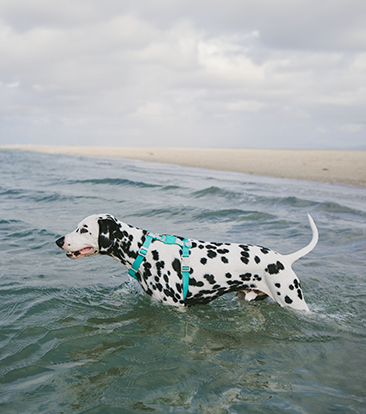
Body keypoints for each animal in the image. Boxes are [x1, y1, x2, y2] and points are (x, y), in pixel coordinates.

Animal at [55, 213, 318, 310]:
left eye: (83, 229)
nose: (58, 240)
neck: (143, 249)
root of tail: (284, 259)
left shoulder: (177, 308)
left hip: (293, 302)